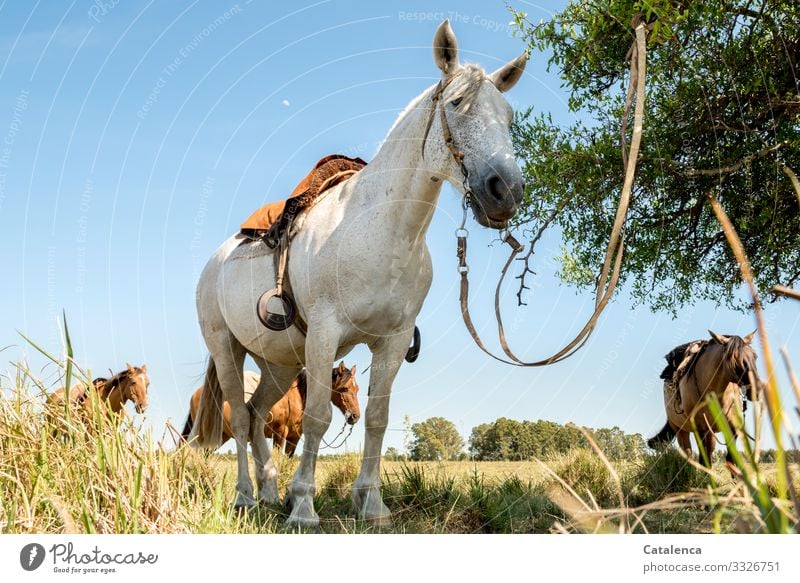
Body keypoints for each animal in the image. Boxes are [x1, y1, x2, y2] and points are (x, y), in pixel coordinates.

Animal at [181, 360, 360, 456]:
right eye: (345, 388)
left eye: (357, 389)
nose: (355, 416)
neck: (298, 397)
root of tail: (197, 393)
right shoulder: (280, 434)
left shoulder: (294, 438)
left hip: (220, 436)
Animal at [648, 336, 760, 468]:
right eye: (735, 359)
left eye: (755, 356)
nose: (756, 389)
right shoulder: (700, 428)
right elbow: (704, 459)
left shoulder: (733, 426)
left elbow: (730, 456)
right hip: (680, 429)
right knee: (688, 453)